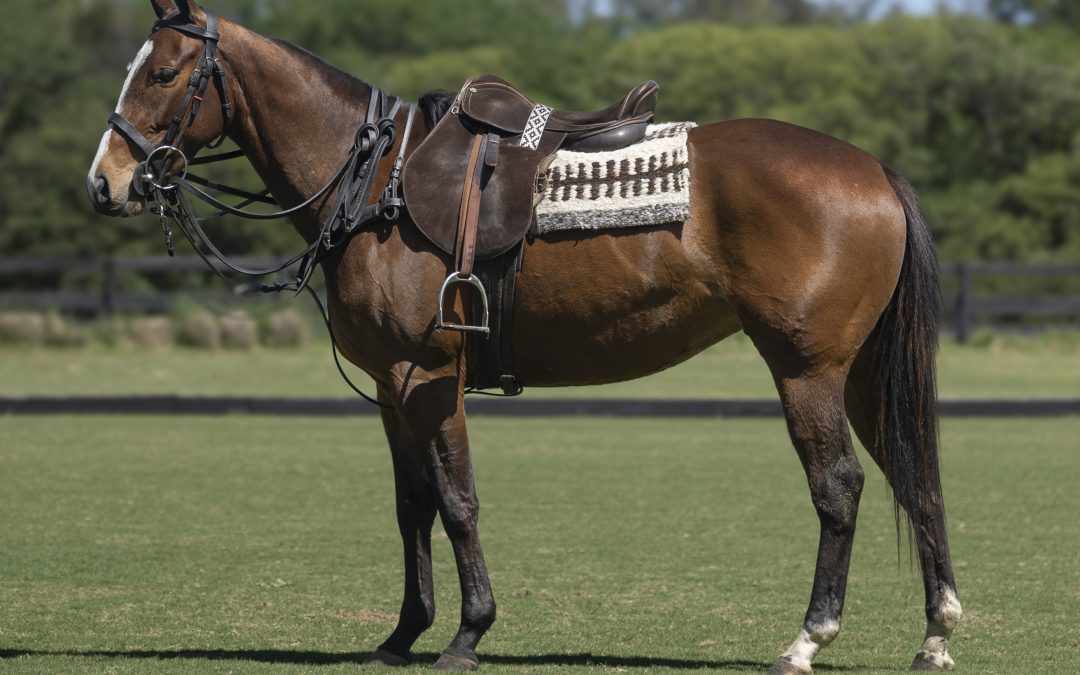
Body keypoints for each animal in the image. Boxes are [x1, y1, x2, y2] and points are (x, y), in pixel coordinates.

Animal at [84, 2, 963, 669]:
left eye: (162, 73)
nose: (106, 182)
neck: (377, 185)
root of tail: (875, 170)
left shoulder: (428, 377)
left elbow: (458, 501)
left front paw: (467, 632)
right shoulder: (390, 389)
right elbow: (411, 505)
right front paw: (402, 633)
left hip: (806, 367)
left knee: (839, 486)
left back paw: (809, 638)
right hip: (861, 371)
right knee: (915, 474)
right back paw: (935, 632)